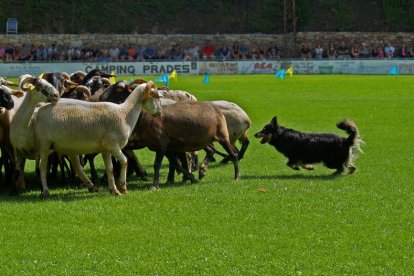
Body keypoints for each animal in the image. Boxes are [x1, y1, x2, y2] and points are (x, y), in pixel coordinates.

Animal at [33, 80, 162, 196]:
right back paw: (45, 191)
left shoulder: (106, 149)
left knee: (76, 166)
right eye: (155, 96)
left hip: (67, 146)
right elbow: (124, 161)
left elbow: (110, 168)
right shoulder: (113, 145)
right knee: (42, 167)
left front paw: (114, 190)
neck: (125, 113)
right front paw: (123, 187)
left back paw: (91, 186)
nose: (159, 113)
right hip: (44, 144)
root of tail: (39, 109)